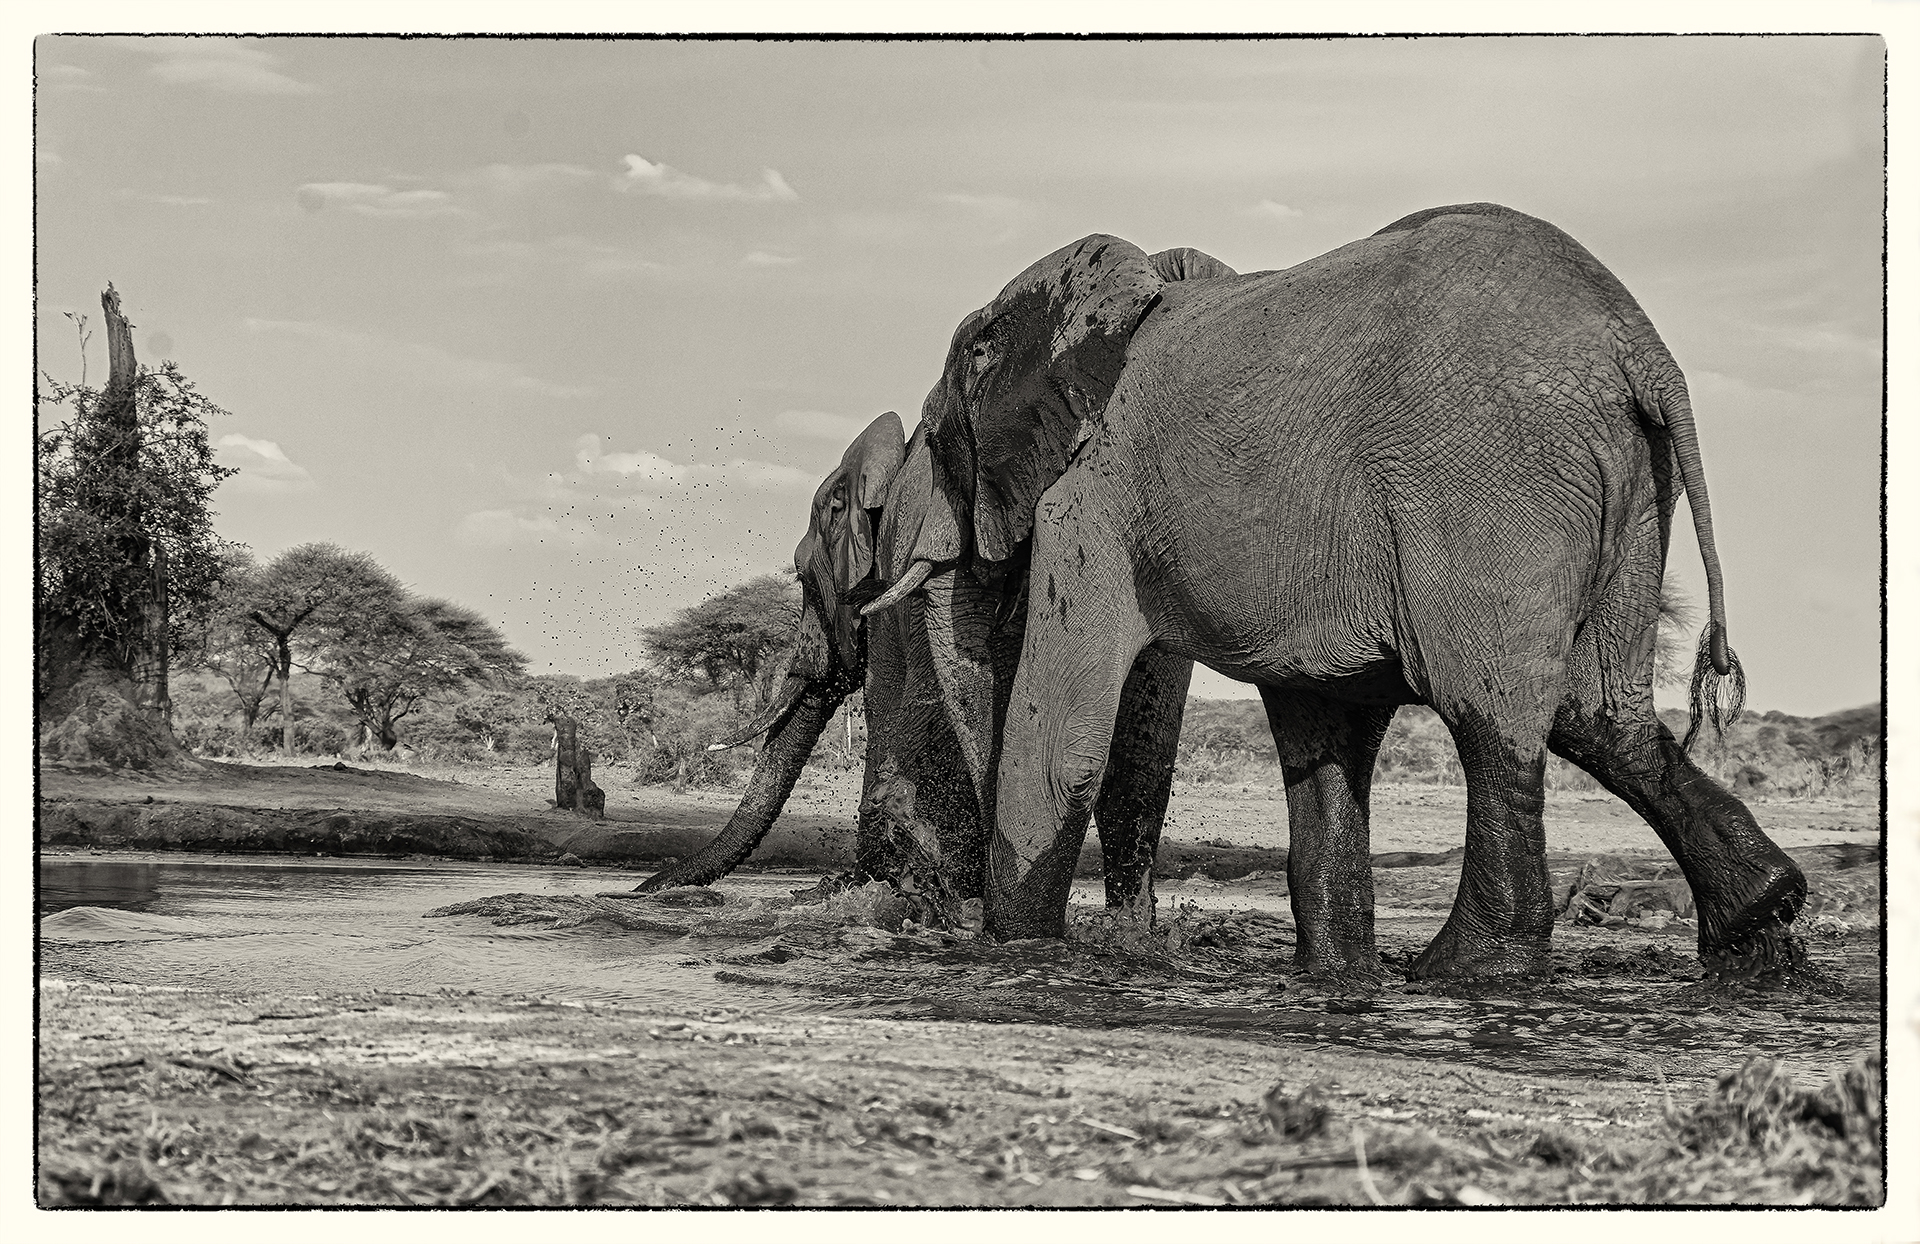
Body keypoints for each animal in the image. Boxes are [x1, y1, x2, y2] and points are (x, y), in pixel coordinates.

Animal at [879, 201, 1804, 982]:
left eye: (941, 432)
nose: (945, 900)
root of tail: (1640, 348)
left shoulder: (1092, 501)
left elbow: (1058, 740)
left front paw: (1015, 954)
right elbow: (1322, 738)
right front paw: (1335, 976)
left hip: (1489, 481)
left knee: (1488, 711)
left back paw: (1462, 970)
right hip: (1631, 482)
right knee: (1602, 714)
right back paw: (1759, 920)